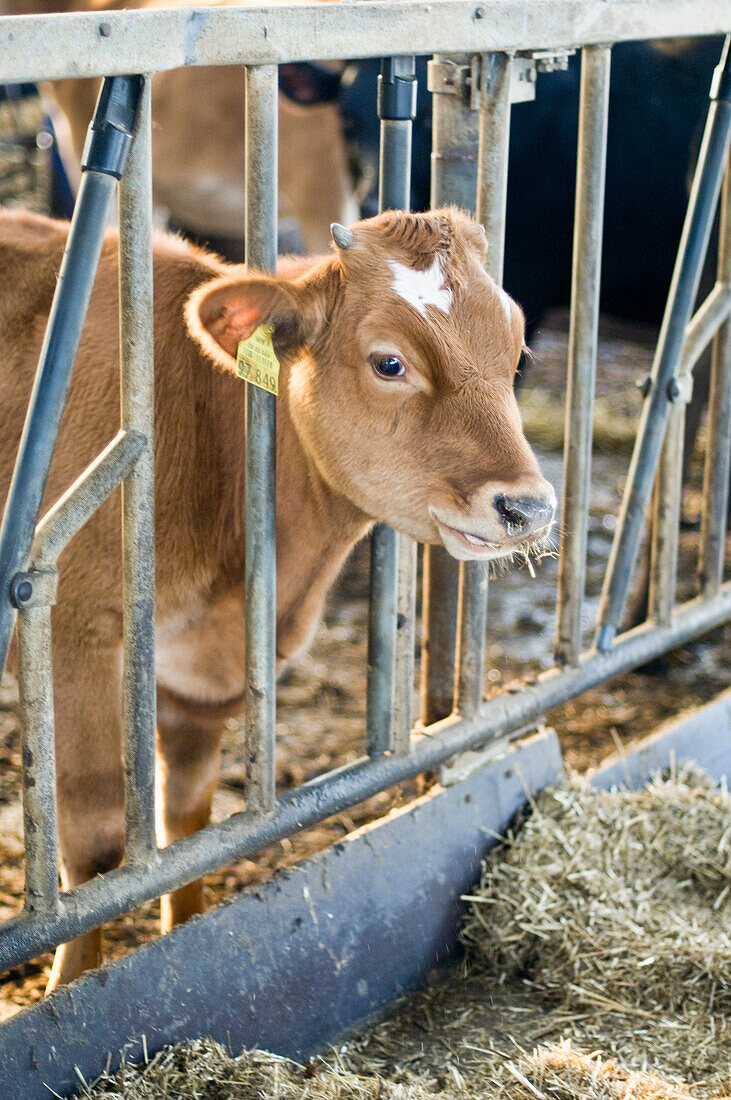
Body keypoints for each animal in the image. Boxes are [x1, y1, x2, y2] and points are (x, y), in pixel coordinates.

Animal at [0, 204, 554, 990]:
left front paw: (185, 934)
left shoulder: (198, 674)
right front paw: (73, 988)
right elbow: (98, 841)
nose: (528, 508)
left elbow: (189, 816)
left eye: (513, 349)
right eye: (389, 362)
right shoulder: (72, 631)